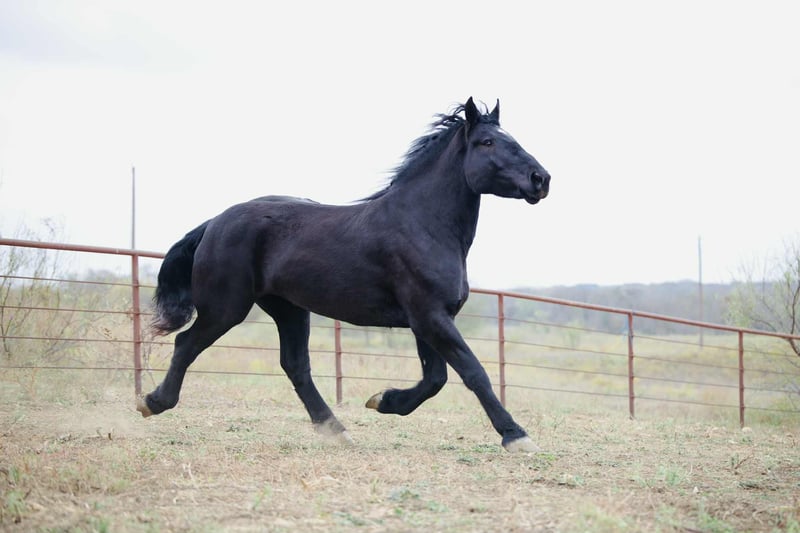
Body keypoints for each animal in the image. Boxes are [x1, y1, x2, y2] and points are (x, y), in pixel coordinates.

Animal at [136, 97, 551, 453]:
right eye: (487, 142)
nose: (541, 179)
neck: (424, 225)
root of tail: (215, 222)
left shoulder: (429, 319)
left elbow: (435, 379)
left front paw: (383, 400)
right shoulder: (429, 316)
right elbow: (472, 372)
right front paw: (516, 436)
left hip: (288, 309)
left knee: (295, 366)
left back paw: (336, 430)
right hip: (227, 308)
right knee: (186, 344)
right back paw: (153, 402)